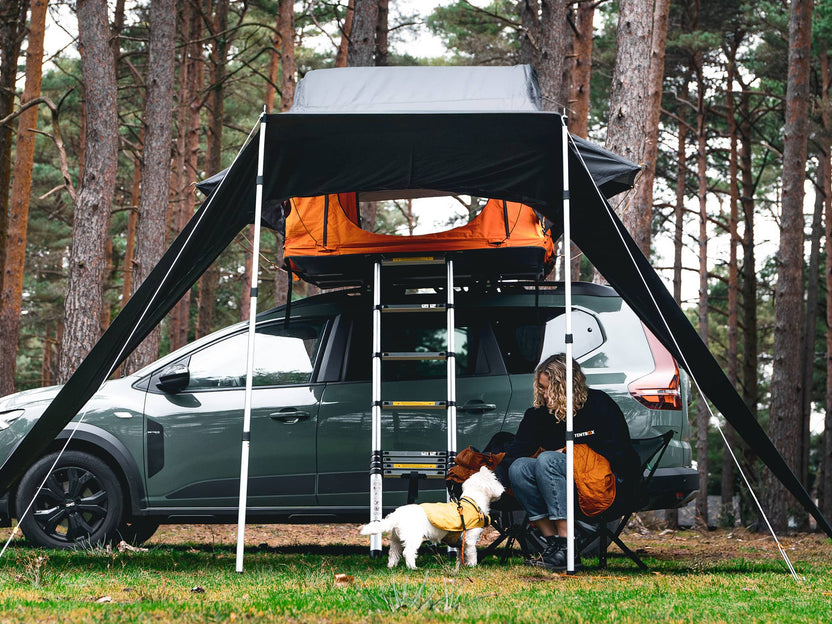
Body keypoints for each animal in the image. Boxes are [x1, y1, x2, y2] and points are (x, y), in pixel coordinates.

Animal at [360, 466, 504, 568]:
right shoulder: (470, 538)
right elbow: (472, 552)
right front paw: (472, 565)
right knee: (408, 552)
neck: (473, 502)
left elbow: (460, 554)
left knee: (393, 552)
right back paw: (412, 567)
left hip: (395, 538)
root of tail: (396, 515)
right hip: (413, 536)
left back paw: (391, 566)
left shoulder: (461, 541)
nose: (503, 489)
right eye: (496, 480)